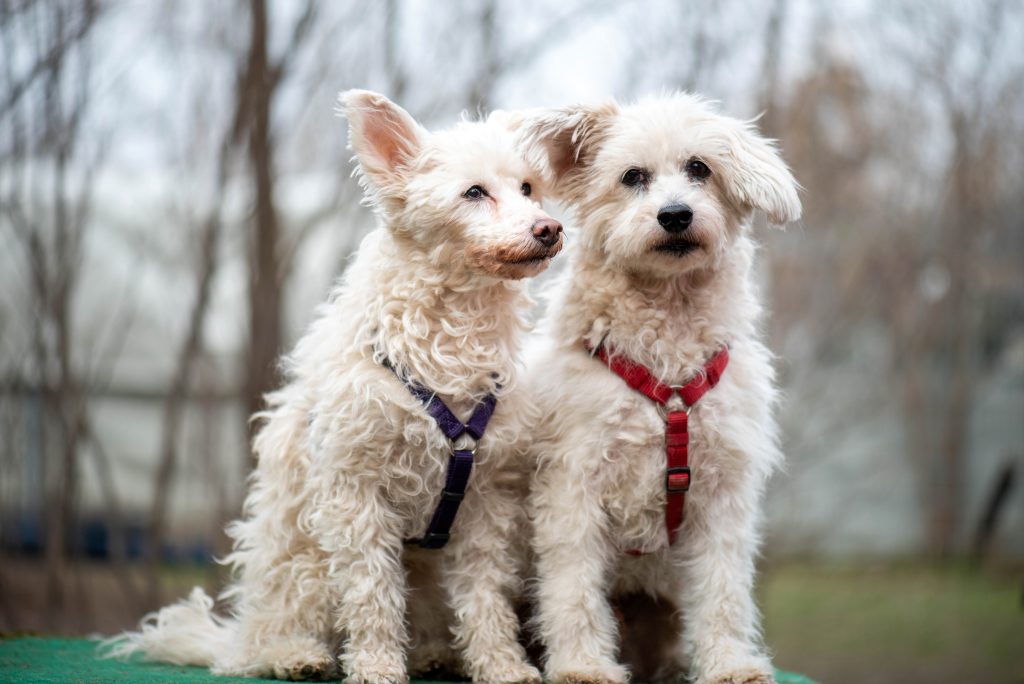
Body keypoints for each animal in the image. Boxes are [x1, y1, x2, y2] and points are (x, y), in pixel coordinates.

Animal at [107, 88, 565, 679]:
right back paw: (296, 655)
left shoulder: (484, 502)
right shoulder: (356, 493)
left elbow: (484, 596)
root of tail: (237, 635)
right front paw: (376, 666)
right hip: (303, 568)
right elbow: (372, 592)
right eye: (473, 192)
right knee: (271, 638)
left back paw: (435, 653)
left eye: (529, 188)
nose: (549, 228)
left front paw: (502, 665)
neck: (448, 340)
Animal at [524, 94, 802, 684]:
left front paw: (729, 664)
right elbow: (572, 588)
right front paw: (583, 666)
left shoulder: (722, 494)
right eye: (633, 176)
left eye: (699, 168)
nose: (675, 215)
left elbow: (723, 590)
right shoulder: (572, 486)